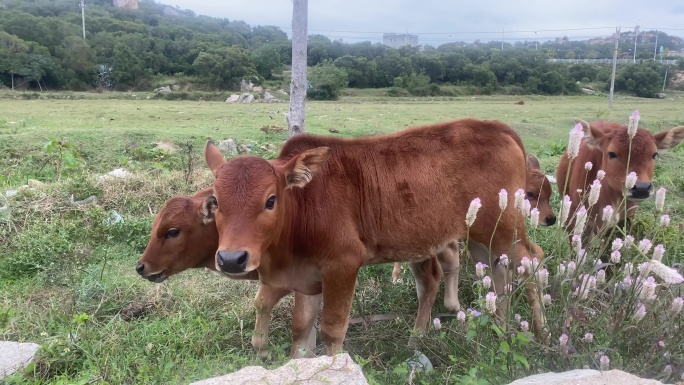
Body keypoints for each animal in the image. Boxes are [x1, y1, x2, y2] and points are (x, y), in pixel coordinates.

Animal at [136, 186, 462, 356]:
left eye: (172, 231)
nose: (141, 267)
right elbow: (272, 309)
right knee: (436, 273)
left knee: (432, 279)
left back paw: (418, 336)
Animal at [202, 118, 544, 354]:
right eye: (215, 201)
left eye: (271, 200)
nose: (231, 259)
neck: (305, 204)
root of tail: (497, 128)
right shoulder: (308, 275)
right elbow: (300, 329)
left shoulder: (343, 264)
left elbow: (332, 330)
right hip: (481, 240)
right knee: (496, 276)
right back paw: (497, 330)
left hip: (505, 231)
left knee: (531, 262)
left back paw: (540, 333)